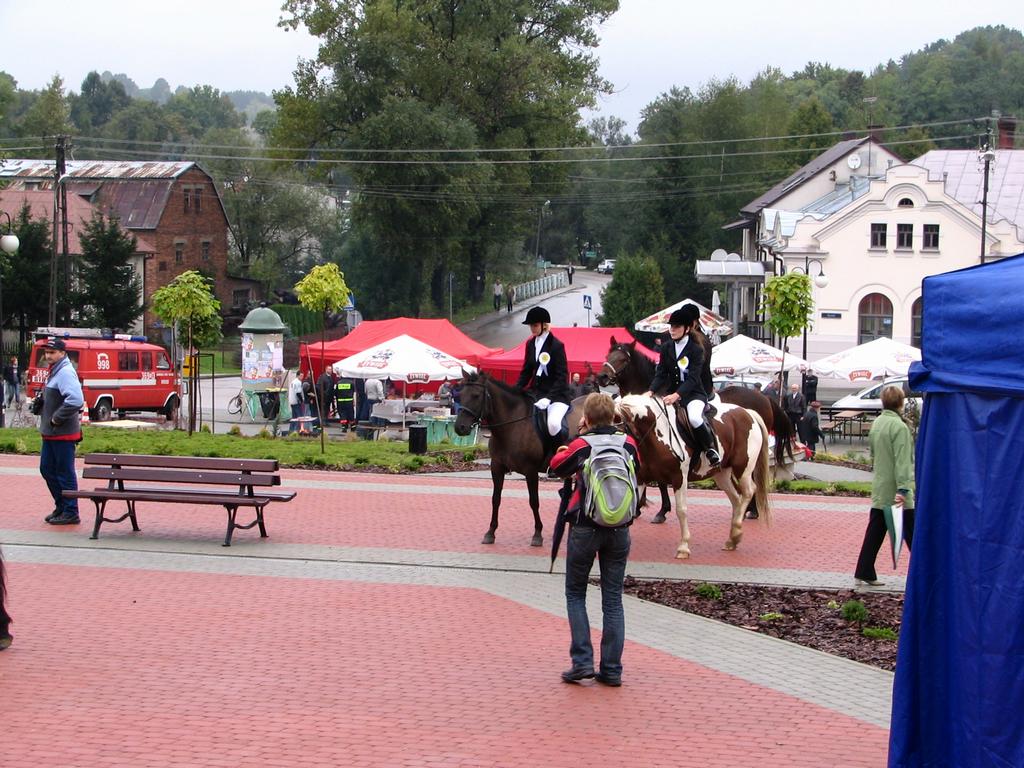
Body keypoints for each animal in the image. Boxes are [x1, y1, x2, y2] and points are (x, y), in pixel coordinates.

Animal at [454, 371, 583, 547]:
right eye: (460, 395)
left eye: (476, 395)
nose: (459, 428)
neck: (511, 426)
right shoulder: (496, 468)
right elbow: (495, 499)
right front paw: (490, 532)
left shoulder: (531, 471)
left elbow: (534, 501)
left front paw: (537, 534)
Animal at [617, 394, 772, 559]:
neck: (656, 432)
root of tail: (748, 413)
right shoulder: (641, 479)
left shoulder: (679, 478)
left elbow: (681, 510)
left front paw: (683, 547)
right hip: (722, 474)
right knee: (737, 498)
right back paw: (732, 539)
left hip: (743, 469)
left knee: (749, 491)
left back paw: (736, 531)